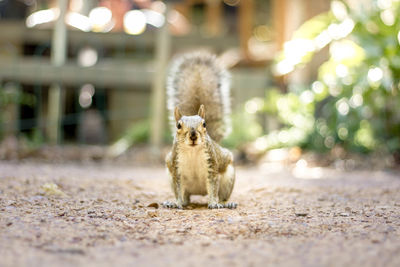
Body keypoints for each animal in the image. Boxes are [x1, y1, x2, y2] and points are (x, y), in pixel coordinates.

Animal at [163, 51, 238, 209]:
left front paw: (214, 203)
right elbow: (178, 190)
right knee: (186, 197)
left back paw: (225, 203)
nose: (193, 135)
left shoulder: (212, 166)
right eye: (178, 126)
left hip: (228, 178)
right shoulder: (176, 169)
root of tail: (200, 192)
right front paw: (176, 203)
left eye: (204, 124)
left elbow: (213, 187)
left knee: (221, 195)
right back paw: (178, 202)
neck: (192, 152)